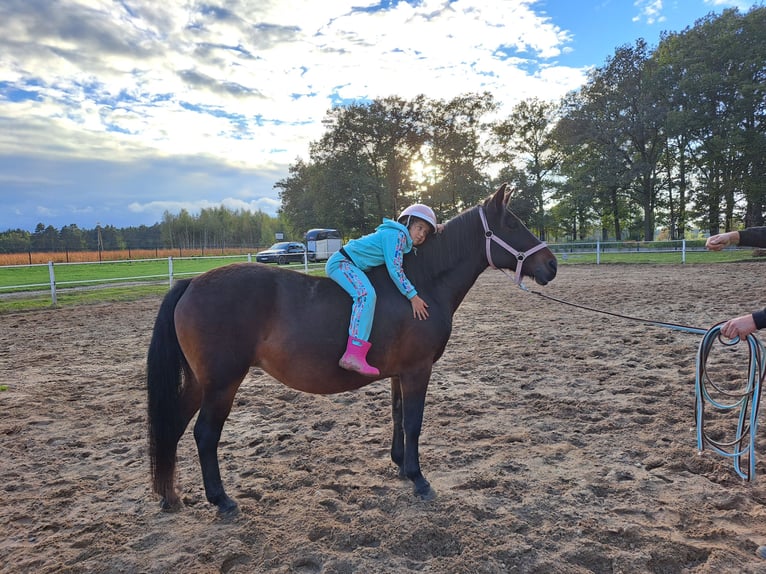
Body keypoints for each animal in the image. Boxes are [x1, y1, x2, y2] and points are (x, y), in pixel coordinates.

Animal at [148, 184, 560, 516]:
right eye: (512, 225)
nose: (552, 266)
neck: (423, 283)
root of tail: (192, 283)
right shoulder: (418, 369)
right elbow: (414, 421)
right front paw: (419, 479)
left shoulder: (400, 373)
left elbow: (397, 416)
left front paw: (400, 465)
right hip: (222, 383)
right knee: (204, 434)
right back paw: (221, 500)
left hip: (201, 383)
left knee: (174, 426)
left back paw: (170, 496)